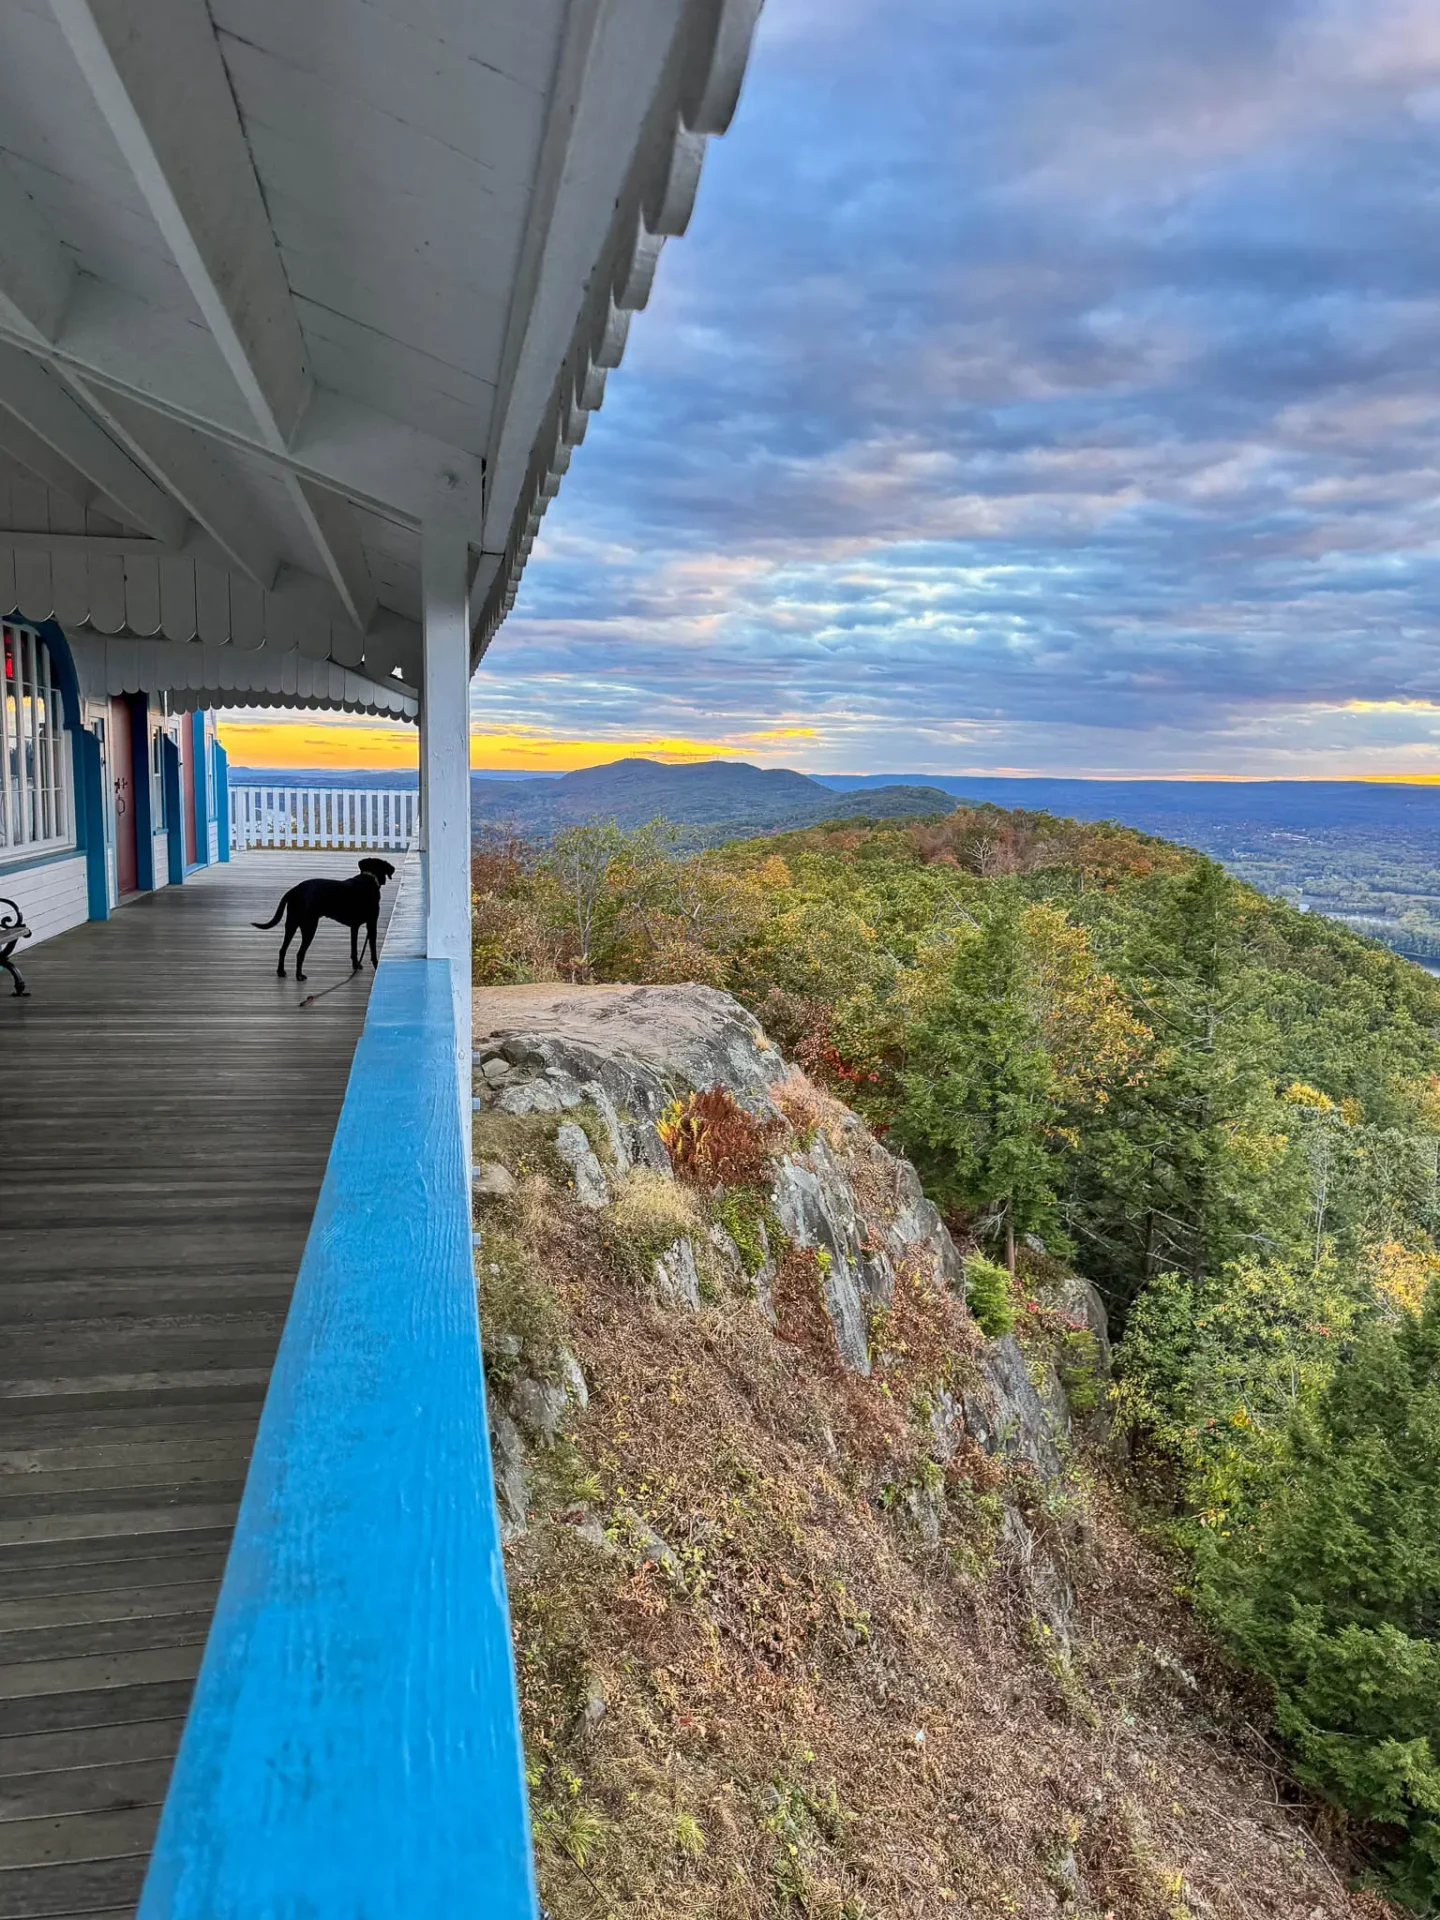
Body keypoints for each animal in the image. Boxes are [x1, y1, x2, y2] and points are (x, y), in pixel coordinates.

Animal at [253, 856, 397, 975]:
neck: (369, 879)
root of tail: (294, 890)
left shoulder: (354, 926)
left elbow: (354, 949)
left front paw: (356, 965)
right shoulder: (372, 924)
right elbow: (373, 951)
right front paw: (376, 966)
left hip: (291, 924)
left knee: (282, 949)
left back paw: (281, 972)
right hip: (309, 926)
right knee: (300, 953)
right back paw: (299, 975)